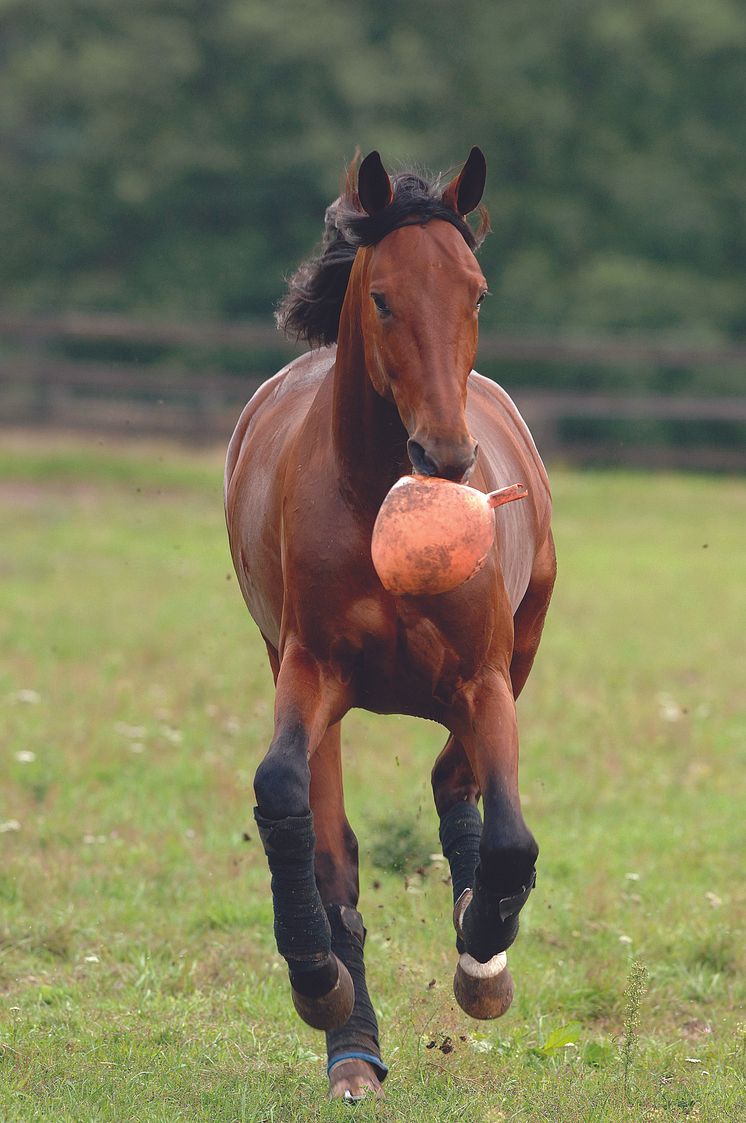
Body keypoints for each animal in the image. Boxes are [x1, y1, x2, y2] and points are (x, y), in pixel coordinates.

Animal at [224, 147, 557, 1096]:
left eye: (476, 294)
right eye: (381, 298)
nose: (447, 456)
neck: (383, 504)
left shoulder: (485, 677)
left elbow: (508, 835)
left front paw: (483, 961)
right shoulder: (309, 669)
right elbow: (286, 799)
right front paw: (317, 980)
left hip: (522, 647)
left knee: (454, 781)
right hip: (296, 672)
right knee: (331, 841)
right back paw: (352, 1048)